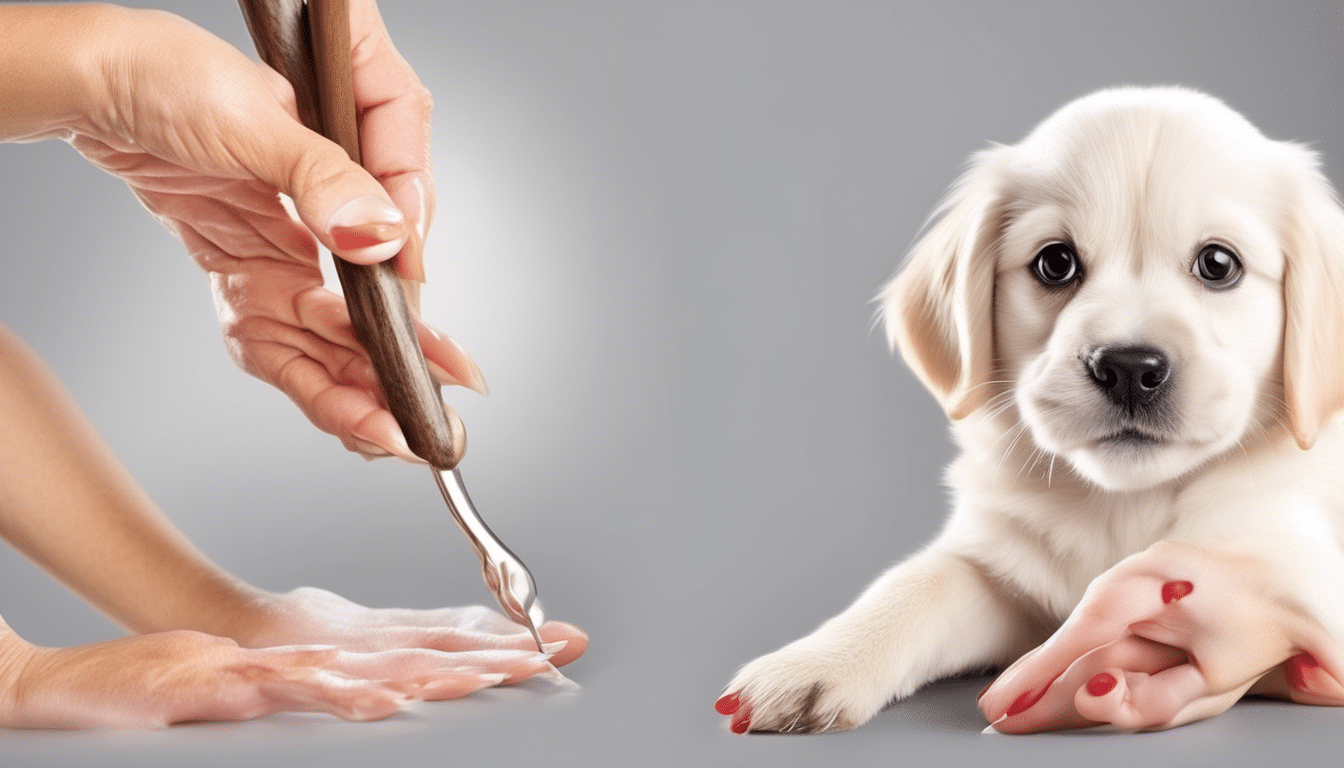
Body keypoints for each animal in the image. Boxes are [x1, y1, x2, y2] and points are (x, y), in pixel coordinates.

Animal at [720, 87, 1344, 737]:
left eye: (1219, 264)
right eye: (1055, 263)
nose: (1129, 368)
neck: (1123, 504)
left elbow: (1251, 577)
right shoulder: (995, 566)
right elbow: (919, 580)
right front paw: (815, 662)